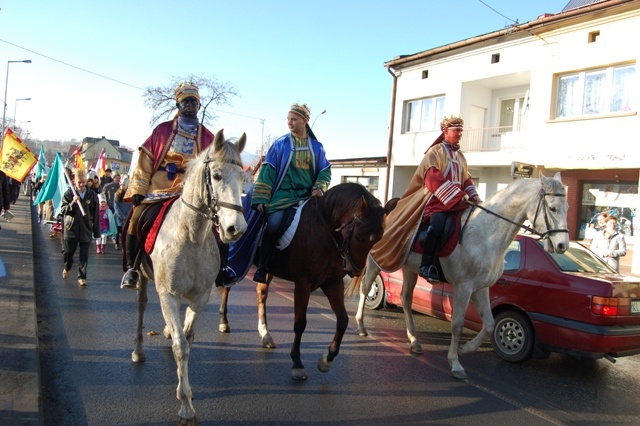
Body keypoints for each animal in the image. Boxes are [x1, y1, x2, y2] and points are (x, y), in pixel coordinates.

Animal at [131, 130, 246, 422]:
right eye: (216, 175)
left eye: (243, 179)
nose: (236, 229)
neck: (191, 235)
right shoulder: (168, 294)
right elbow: (181, 348)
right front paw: (185, 405)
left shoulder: (200, 297)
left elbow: (188, 337)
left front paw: (186, 393)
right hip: (143, 280)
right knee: (141, 309)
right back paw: (138, 350)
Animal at [219, 182, 390, 380]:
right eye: (358, 237)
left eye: (378, 239)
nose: (355, 270)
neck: (324, 231)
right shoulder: (303, 284)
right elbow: (300, 323)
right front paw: (297, 363)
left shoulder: (333, 284)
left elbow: (342, 320)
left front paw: (327, 359)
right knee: (226, 287)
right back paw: (224, 322)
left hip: (267, 269)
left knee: (261, 295)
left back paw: (265, 334)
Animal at [348, 173, 568, 380]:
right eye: (553, 208)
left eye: (567, 207)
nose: (562, 245)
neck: (486, 235)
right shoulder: (464, 287)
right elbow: (457, 324)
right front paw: (455, 363)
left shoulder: (481, 288)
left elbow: (489, 325)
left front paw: (465, 349)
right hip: (376, 262)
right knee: (366, 288)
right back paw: (361, 325)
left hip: (409, 268)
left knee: (406, 298)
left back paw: (414, 341)